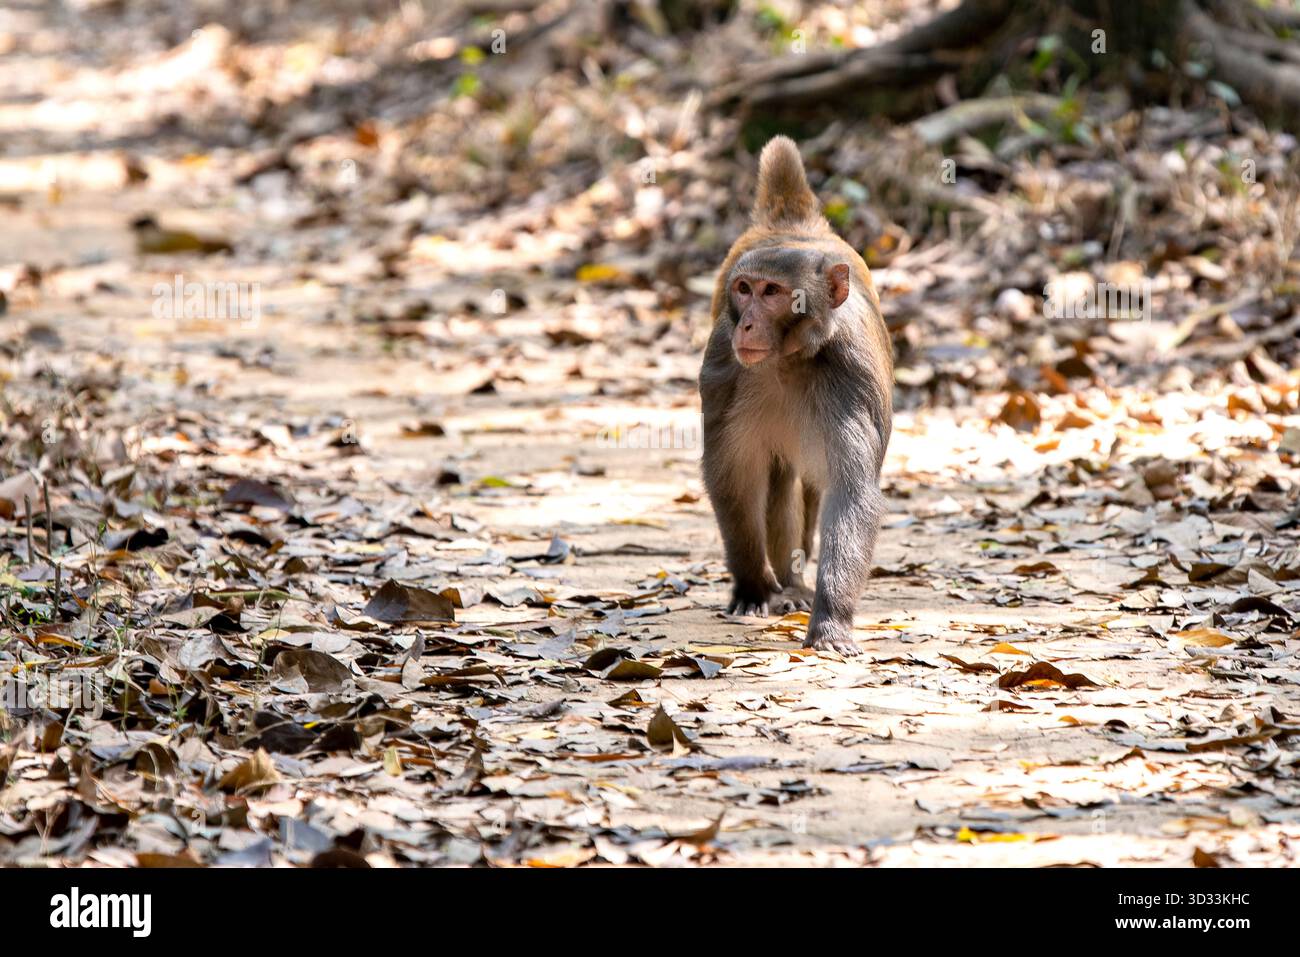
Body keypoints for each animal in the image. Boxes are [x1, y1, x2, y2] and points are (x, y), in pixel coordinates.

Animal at [699, 135, 893, 656]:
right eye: (744, 290)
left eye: (772, 292)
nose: (747, 324)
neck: (790, 360)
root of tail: (794, 226)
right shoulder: (723, 363)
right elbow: (733, 474)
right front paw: (753, 589)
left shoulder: (853, 373)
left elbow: (851, 491)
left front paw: (830, 619)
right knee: (779, 478)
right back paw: (782, 585)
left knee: (806, 485)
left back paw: (795, 584)